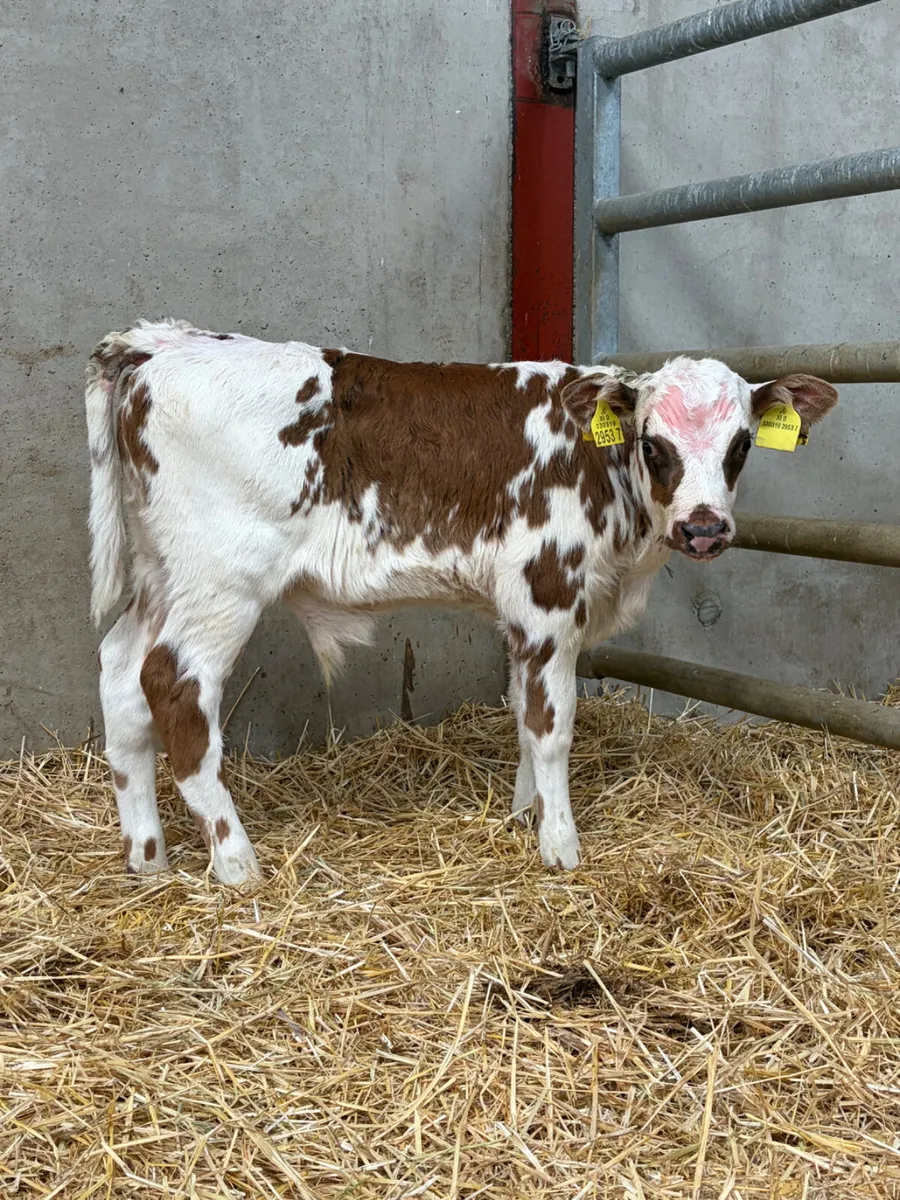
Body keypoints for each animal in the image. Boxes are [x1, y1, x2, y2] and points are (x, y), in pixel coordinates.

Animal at [86, 319, 838, 883]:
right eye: (655, 444)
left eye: (741, 445)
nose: (705, 528)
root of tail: (161, 343)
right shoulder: (547, 595)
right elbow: (551, 725)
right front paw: (559, 844)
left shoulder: (525, 620)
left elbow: (523, 714)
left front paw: (523, 816)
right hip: (221, 582)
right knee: (173, 685)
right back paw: (236, 862)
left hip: (160, 575)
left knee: (120, 677)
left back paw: (146, 857)